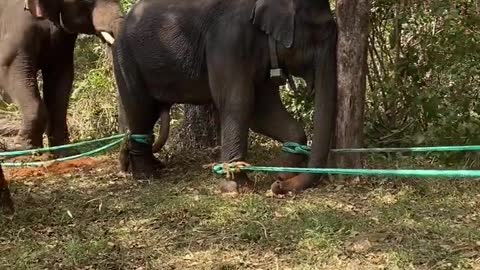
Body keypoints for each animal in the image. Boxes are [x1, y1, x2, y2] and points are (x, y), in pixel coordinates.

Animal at [0, 0, 124, 152]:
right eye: (88, 2)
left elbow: (61, 75)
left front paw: (62, 150)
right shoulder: (14, 26)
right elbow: (9, 69)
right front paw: (24, 149)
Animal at [112, 0, 338, 195]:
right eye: (319, 33)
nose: (278, 186)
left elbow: (263, 113)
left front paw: (283, 172)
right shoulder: (228, 40)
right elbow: (238, 102)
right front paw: (236, 188)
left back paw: (155, 166)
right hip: (125, 60)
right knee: (141, 110)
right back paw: (146, 175)